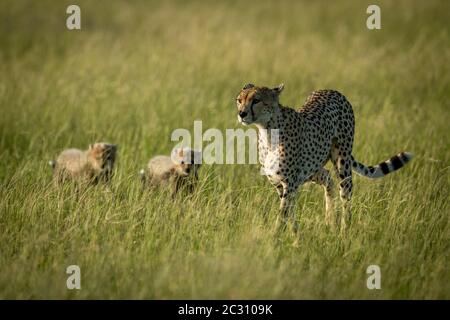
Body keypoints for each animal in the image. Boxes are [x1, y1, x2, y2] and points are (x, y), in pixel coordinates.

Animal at [237, 84, 414, 231]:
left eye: (256, 100)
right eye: (239, 100)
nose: (241, 113)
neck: (267, 129)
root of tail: (332, 91)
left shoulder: (290, 183)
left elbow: (283, 214)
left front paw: (276, 239)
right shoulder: (281, 185)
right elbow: (290, 213)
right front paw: (295, 237)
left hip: (342, 162)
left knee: (345, 196)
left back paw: (344, 232)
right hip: (312, 168)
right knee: (328, 178)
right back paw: (329, 219)